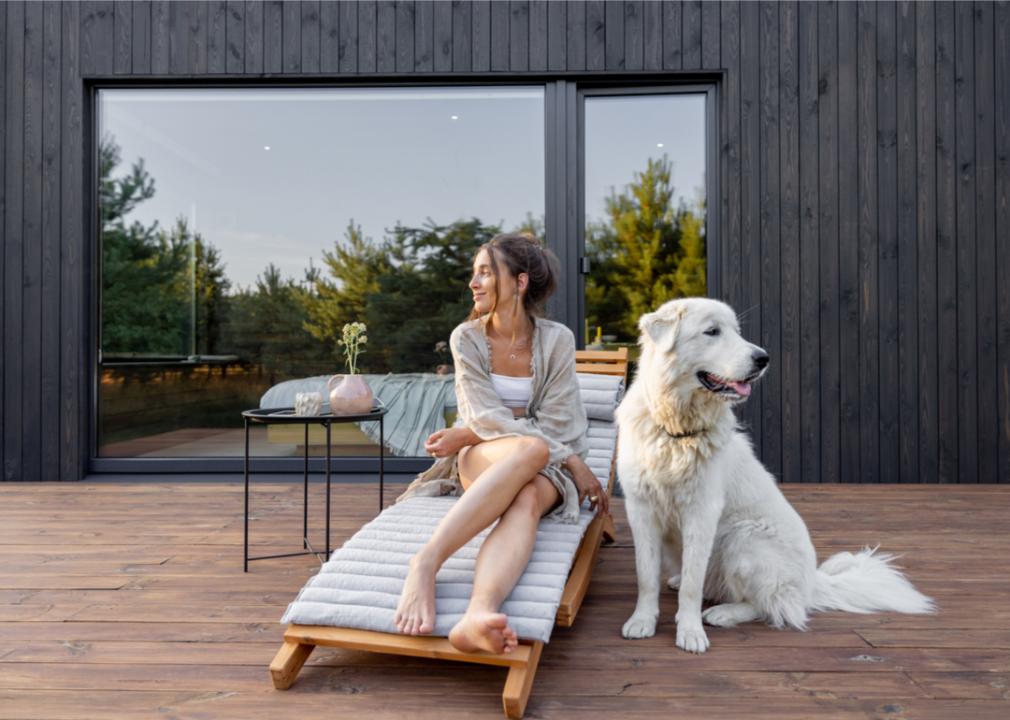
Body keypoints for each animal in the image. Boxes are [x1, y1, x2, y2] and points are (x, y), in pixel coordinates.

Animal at [618, 296, 933, 650]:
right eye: (712, 331)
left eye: (737, 331)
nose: (763, 358)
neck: (675, 430)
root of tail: (812, 582)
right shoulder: (640, 508)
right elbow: (646, 575)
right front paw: (642, 621)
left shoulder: (702, 512)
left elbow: (692, 585)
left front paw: (690, 632)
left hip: (742, 537)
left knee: (768, 604)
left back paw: (722, 613)